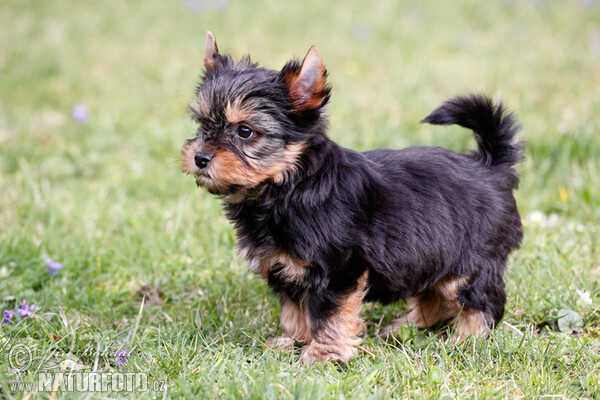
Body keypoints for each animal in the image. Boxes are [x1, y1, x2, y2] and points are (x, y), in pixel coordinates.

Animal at [183, 32, 524, 364]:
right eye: (202, 123)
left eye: (244, 131)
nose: (200, 157)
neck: (291, 185)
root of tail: (490, 166)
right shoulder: (285, 269)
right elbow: (295, 311)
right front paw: (292, 341)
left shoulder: (338, 268)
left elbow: (328, 314)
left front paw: (324, 354)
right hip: (432, 252)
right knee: (433, 295)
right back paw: (403, 328)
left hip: (470, 261)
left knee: (481, 301)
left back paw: (465, 341)